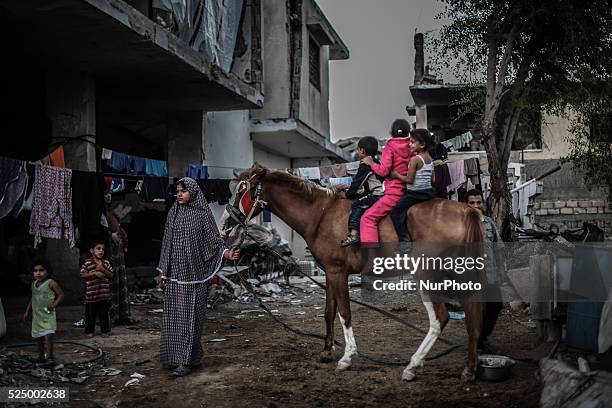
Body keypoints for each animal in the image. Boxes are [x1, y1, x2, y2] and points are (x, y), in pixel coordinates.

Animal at [237, 164, 486, 380]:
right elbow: (329, 311)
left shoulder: (338, 272)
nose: (232, 218)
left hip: (426, 275)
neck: (320, 214)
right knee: (472, 314)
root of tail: (468, 211)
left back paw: (414, 365)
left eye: (241, 189)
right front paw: (327, 351)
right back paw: (469, 367)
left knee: (441, 317)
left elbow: (344, 313)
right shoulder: (330, 273)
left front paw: (347, 357)